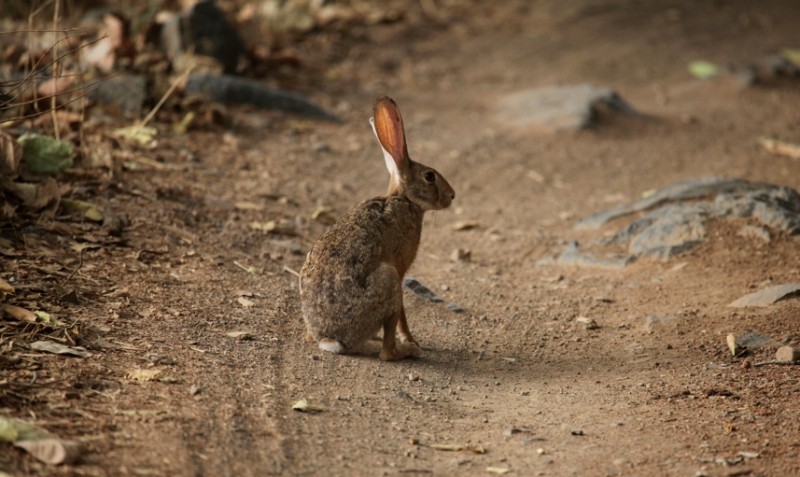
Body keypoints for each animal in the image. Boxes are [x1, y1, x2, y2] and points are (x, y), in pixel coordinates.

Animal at [300, 96, 455, 361]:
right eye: (429, 176)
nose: (452, 196)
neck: (403, 199)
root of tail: (331, 338)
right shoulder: (400, 269)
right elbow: (403, 314)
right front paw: (412, 339)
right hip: (388, 278)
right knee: (386, 352)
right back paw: (407, 350)